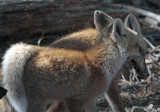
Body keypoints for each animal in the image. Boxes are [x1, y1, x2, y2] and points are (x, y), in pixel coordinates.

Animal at [1, 9, 148, 112]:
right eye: (138, 45)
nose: (146, 74)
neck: (100, 64)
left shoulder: (90, 100)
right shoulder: (74, 101)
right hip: (37, 106)